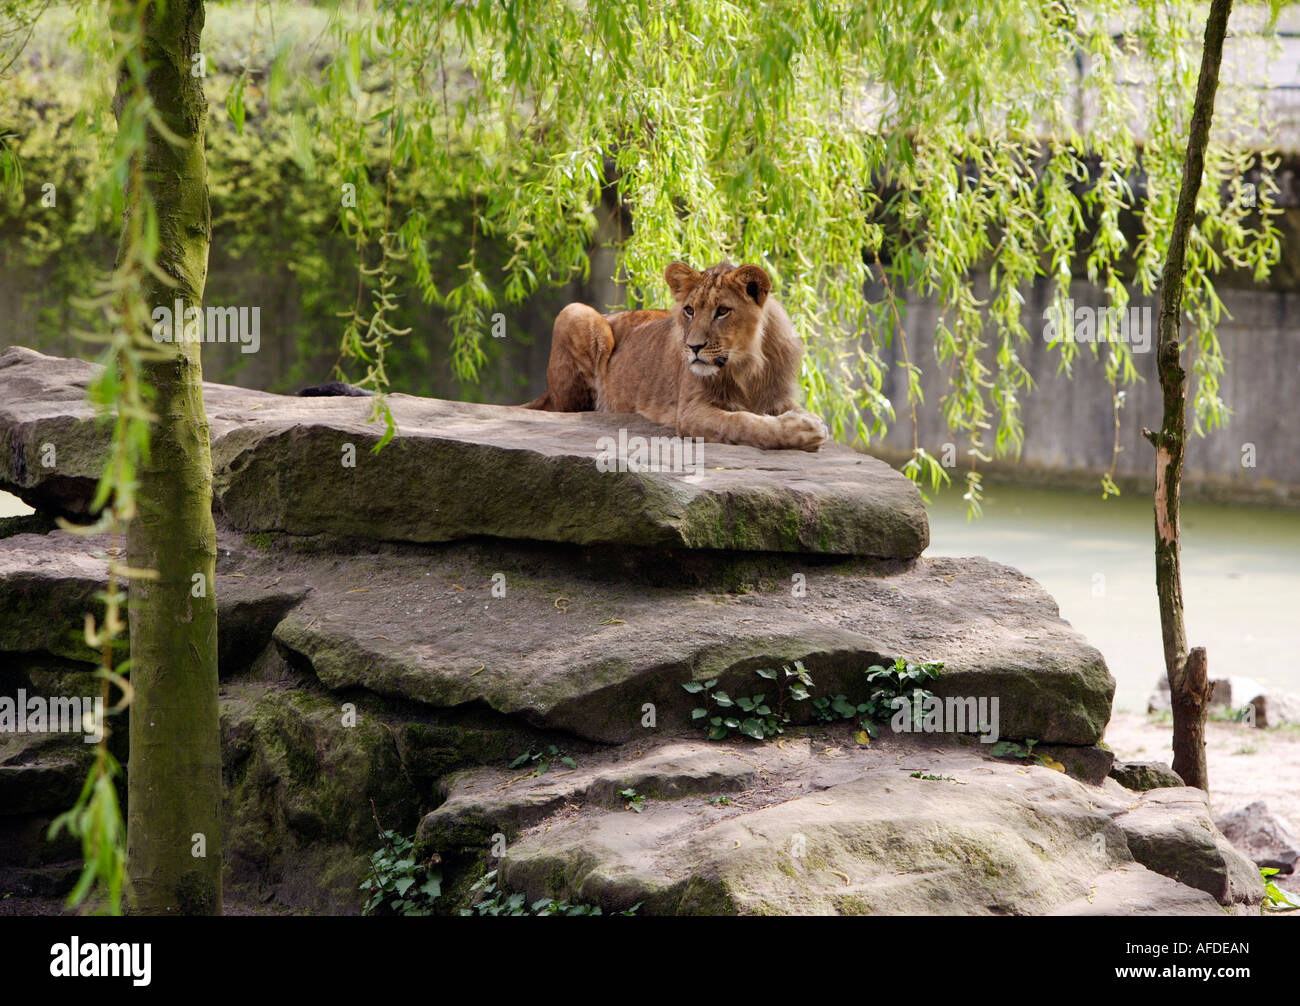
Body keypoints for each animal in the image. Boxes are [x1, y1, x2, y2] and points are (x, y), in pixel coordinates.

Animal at [522, 262, 826, 452]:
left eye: (722, 311)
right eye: (689, 310)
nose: (693, 347)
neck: (748, 367)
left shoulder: (780, 398)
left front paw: (810, 422)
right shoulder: (690, 412)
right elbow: (743, 422)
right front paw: (805, 431)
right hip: (575, 312)